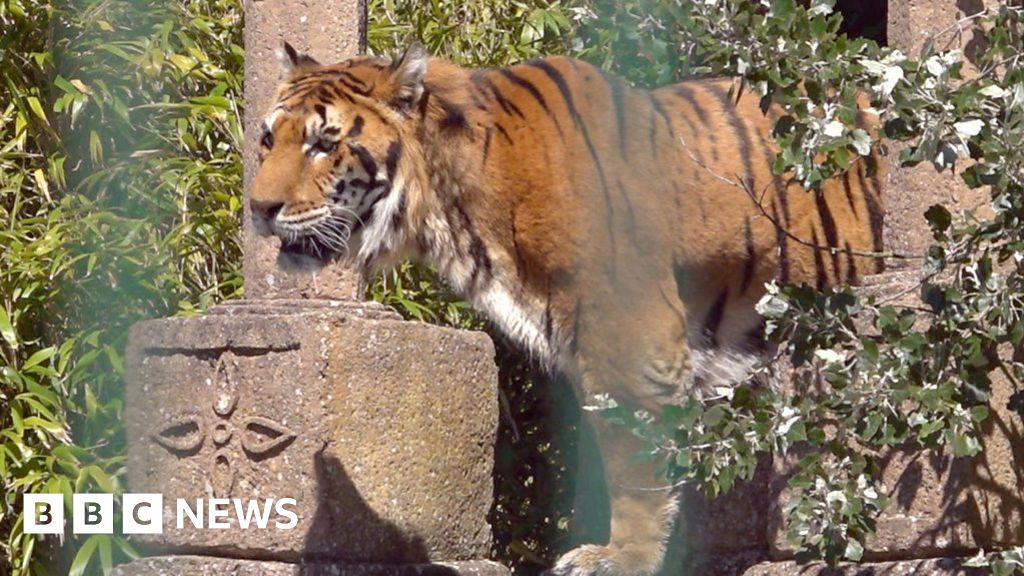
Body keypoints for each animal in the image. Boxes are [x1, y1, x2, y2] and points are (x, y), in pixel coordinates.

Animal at [250, 41, 884, 576]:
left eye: (324, 143)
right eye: (268, 140)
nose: (258, 208)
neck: (454, 206)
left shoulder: (630, 341)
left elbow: (631, 468)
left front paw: (619, 558)